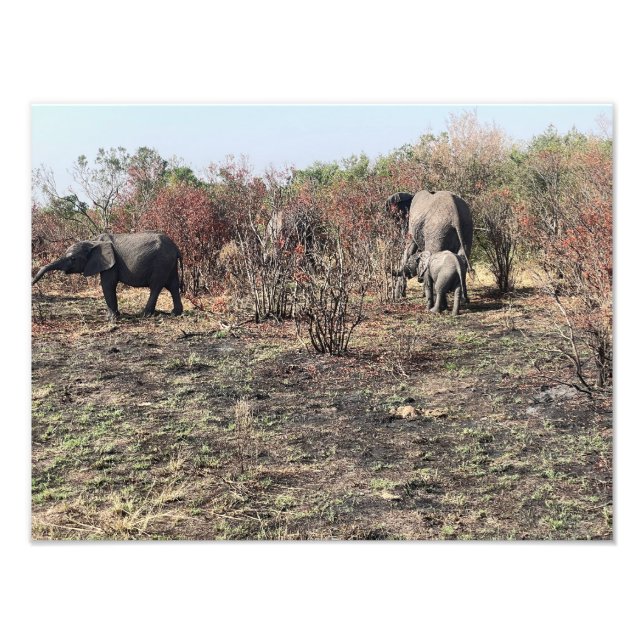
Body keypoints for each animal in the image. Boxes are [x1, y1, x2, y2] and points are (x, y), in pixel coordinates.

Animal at [32, 231, 183, 320]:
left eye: (72, 259)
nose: (32, 283)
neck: (92, 241)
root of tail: (176, 248)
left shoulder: (111, 263)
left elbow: (108, 284)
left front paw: (111, 319)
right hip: (168, 263)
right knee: (173, 285)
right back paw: (175, 313)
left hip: (161, 262)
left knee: (156, 286)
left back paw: (145, 314)